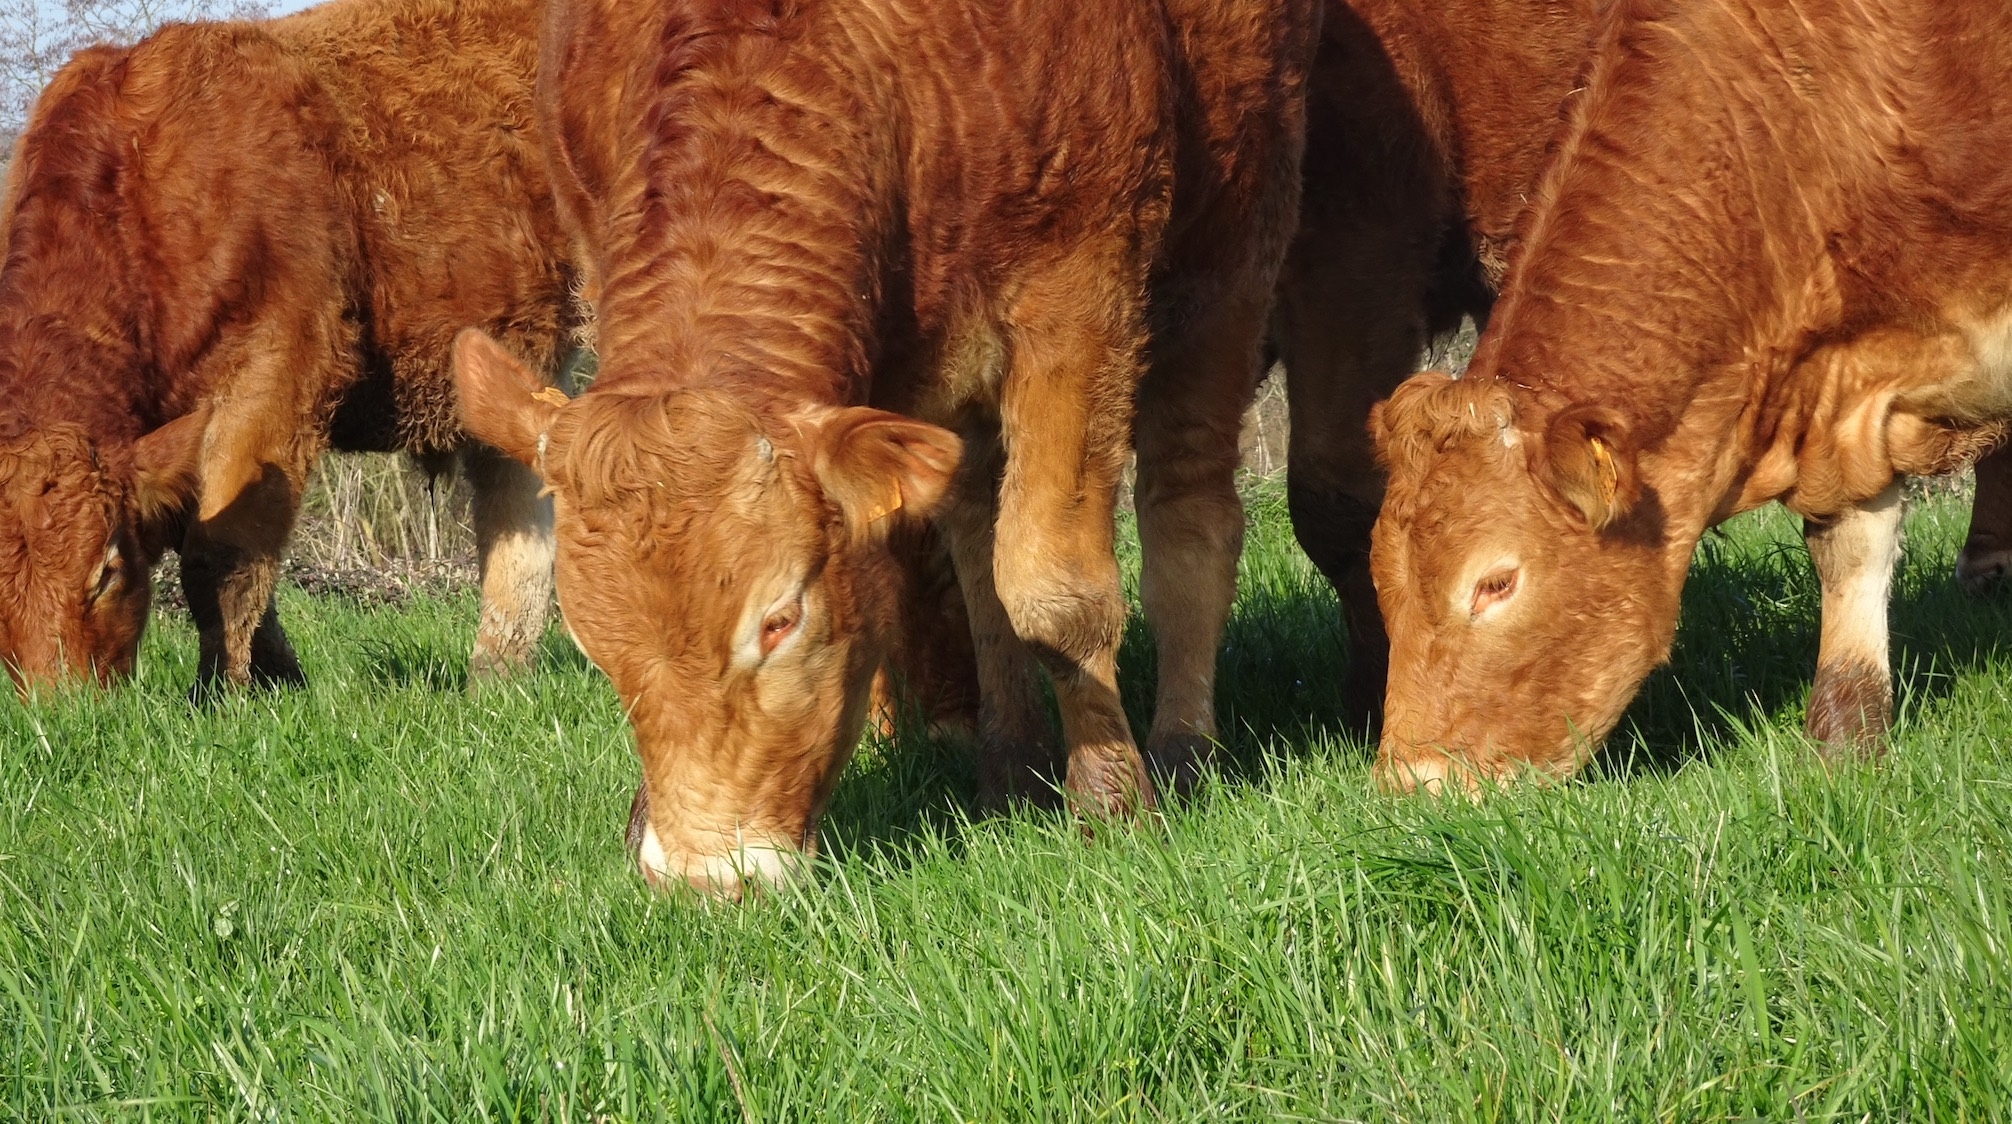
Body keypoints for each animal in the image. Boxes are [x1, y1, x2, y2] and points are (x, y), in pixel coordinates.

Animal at [0, 0, 575, 699]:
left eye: (105, 569)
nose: (58, 710)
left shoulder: (276, 376)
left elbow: (223, 558)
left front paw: (220, 693)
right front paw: (280, 681)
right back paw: (496, 678)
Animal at [460, 0, 1319, 892]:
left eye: (780, 620)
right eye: (595, 648)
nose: (711, 877)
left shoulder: (1081, 295)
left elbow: (1054, 589)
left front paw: (1110, 798)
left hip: (1229, 257)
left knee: (1190, 514)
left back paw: (1183, 750)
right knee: (975, 539)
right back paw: (1011, 762)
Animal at [1368, 0, 2012, 792]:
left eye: (1495, 583)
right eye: (1382, 582)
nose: (1413, 785)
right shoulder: (1842, 397)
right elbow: (1851, 551)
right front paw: (1847, 743)